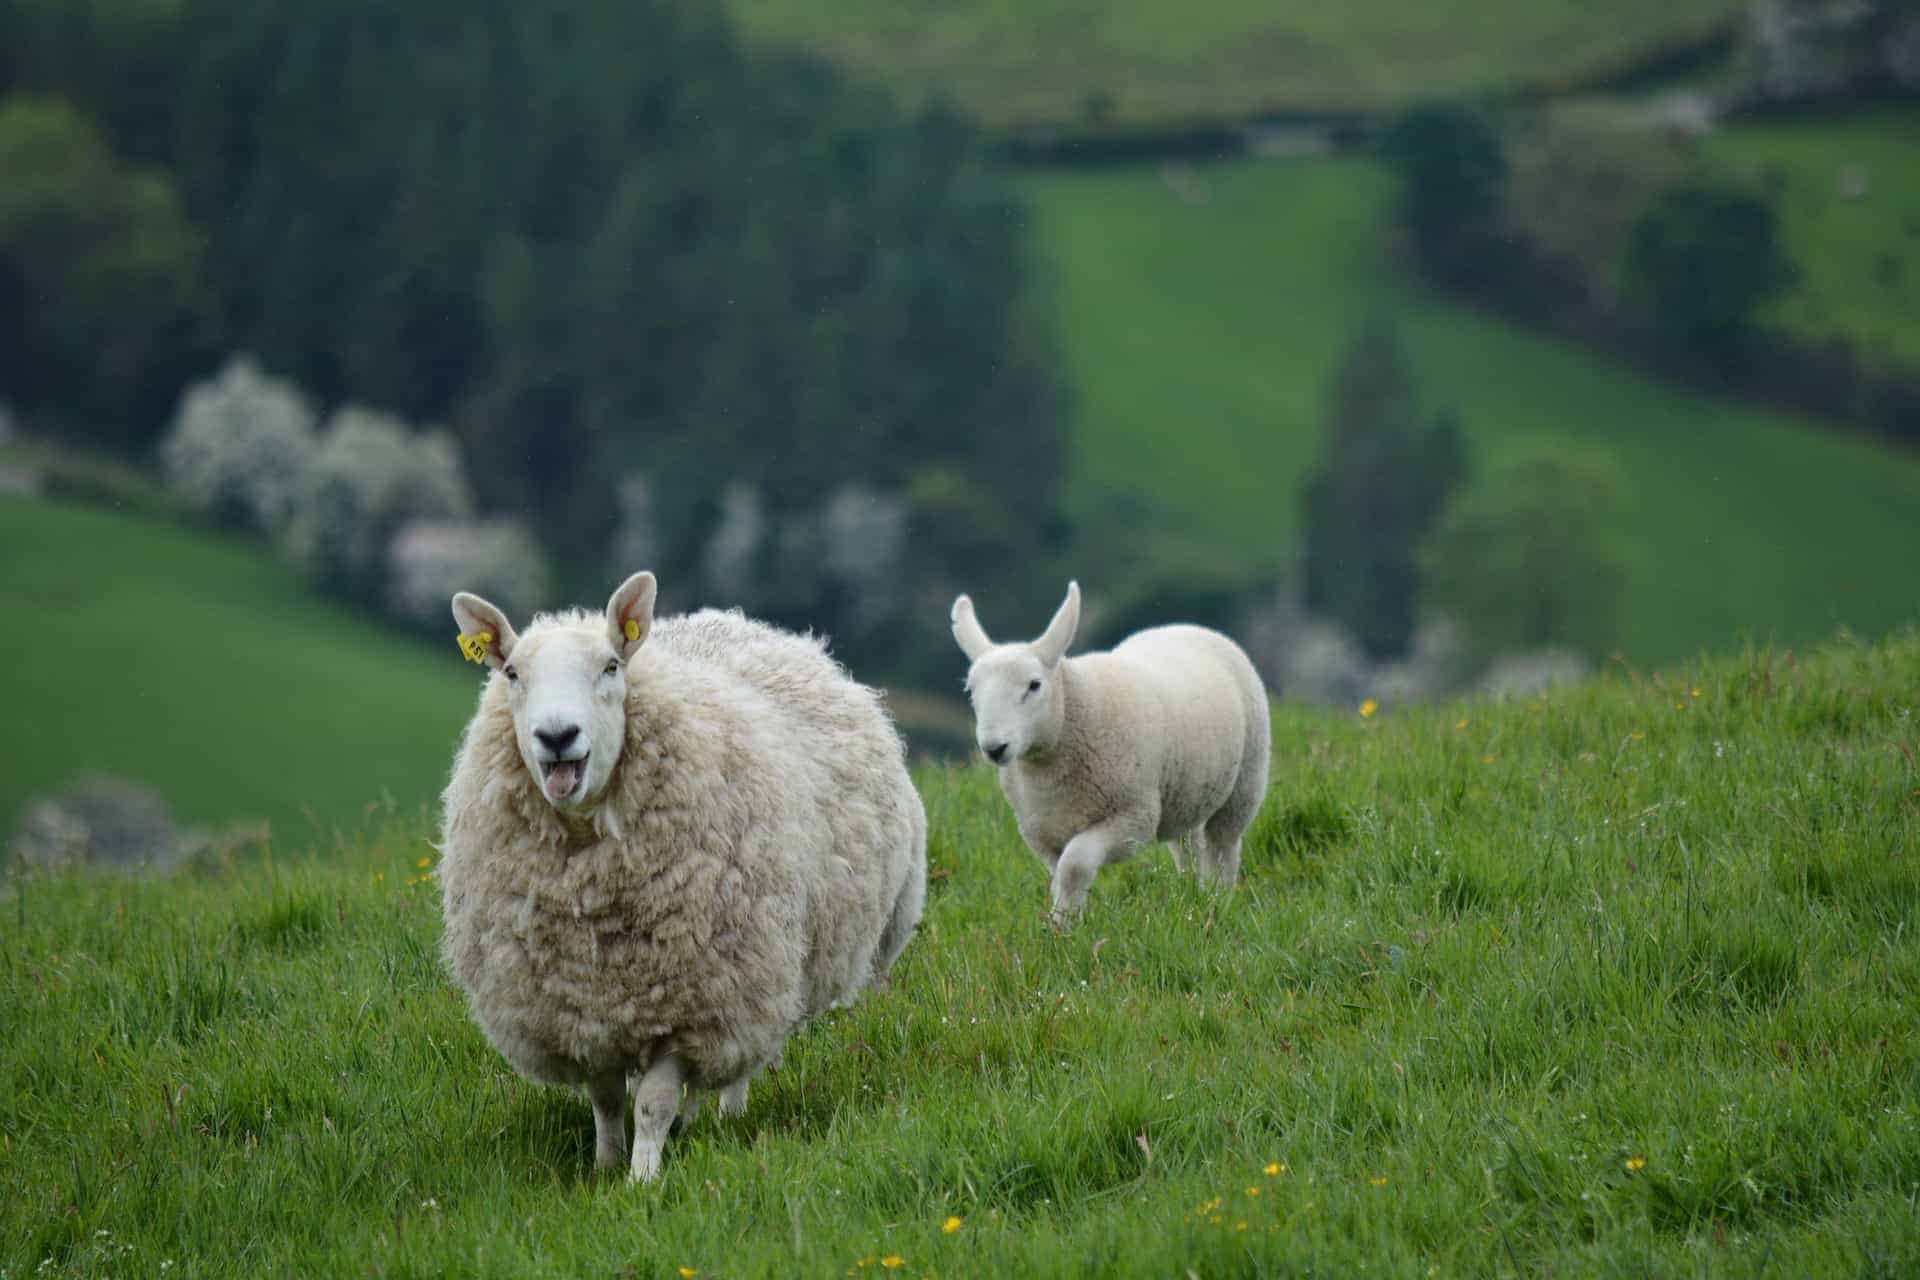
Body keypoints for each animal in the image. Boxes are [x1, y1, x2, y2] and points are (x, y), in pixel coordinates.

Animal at [437, 575, 929, 1189]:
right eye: (511, 673)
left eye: (610, 667)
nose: (557, 735)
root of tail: (740, 622)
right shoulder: (579, 1007)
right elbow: (606, 1100)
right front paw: (605, 1166)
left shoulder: (692, 1000)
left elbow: (653, 1101)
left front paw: (642, 1180)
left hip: (758, 969)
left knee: (739, 1058)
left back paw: (725, 1116)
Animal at [948, 579, 1274, 921]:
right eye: (970, 690)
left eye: (1034, 685)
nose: (994, 747)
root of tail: (1186, 626)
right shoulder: (1042, 834)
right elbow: (1060, 875)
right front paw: (1065, 920)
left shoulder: (1133, 817)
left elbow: (1075, 864)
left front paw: (1064, 923)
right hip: (1185, 792)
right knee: (1189, 845)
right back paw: (1193, 896)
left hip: (1245, 781)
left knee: (1223, 846)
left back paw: (1218, 898)